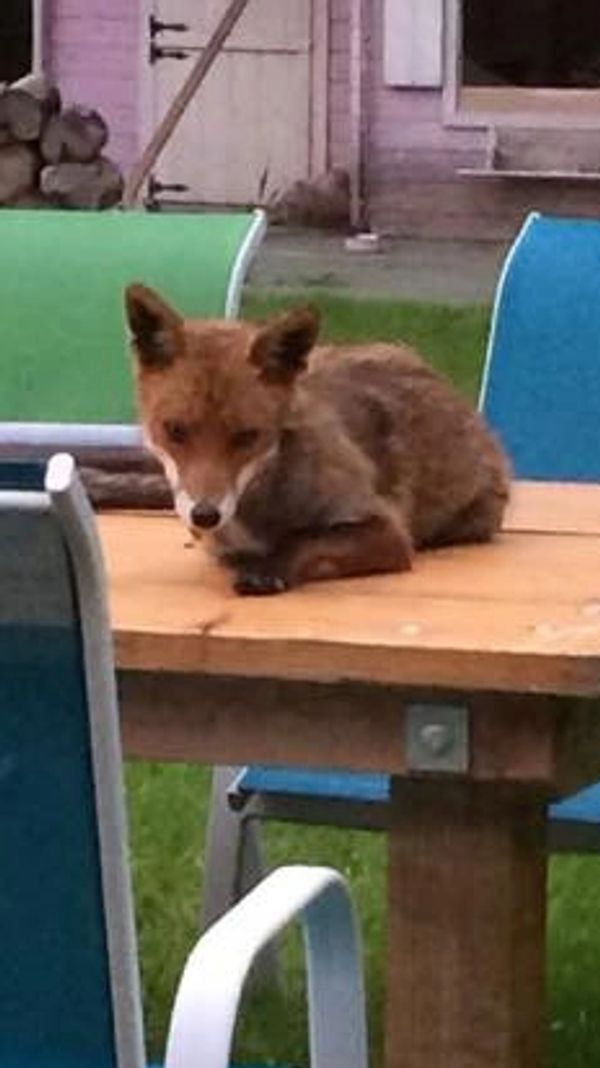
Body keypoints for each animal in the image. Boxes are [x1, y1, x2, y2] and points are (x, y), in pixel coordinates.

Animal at [124, 283, 510, 595]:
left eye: (247, 436)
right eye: (175, 430)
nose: (205, 515)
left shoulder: (387, 530)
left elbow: (305, 540)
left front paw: (269, 569)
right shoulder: (220, 545)